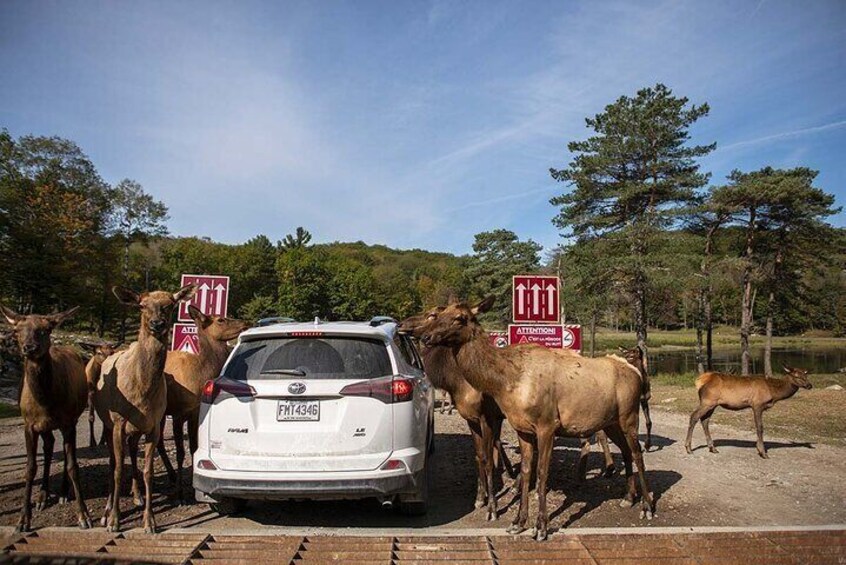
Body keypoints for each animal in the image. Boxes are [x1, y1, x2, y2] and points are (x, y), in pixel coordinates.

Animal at [0, 304, 93, 528]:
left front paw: (83, 515)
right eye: (17, 331)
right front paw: (23, 519)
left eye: (45, 330)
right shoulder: (29, 425)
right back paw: (42, 496)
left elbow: (72, 466)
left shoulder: (68, 423)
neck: (46, 403)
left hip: (70, 419)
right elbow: (30, 467)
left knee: (60, 452)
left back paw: (63, 493)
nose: (30, 347)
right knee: (49, 447)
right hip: (45, 427)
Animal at [95, 284, 198, 532]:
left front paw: (149, 520)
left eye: (170, 304)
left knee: (133, 452)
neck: (141, 392)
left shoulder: (153, 425)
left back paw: (137, 496)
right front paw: (114, 520)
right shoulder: (119, 422)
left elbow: (148, 472)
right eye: (142, 305)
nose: (157, 323)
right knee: (112, 461)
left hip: (136, 430)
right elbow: (117, 470)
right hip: (108, 423)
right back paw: (107, 509)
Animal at [157, 306, 248, 500]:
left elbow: (193, 447)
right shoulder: (178, 413)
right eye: (220, 319)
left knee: (158, 442)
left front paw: (192, 487)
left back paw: (171, 475)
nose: (245, 322)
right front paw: (180, 492)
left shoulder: (195, 412)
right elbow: (181, 451)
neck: (200, 374)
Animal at [418, 298, 656, 540]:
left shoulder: (546, 425)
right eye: (440, 314)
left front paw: (540, 526)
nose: (426, 337)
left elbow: (541, 472)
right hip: (610, 423)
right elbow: (525, 470)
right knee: (626, 451)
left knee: (638, 454)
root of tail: (637, 372)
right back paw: (628, 497)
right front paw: (518, 522)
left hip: (629, 416)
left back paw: (647, 506)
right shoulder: (522, 429)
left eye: (460, 318)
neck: (505, 383)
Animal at [684, 366, 816, 458]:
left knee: (705, 420)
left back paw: (712, 448)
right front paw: (762, 452)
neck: (774, 392)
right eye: (796, 376)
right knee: (694, 416)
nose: (810, 385)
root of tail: (699, 381)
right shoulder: (757, 404)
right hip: (708, 401)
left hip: (713, 404)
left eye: (806, 375)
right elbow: (760, 427)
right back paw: (688, 448)